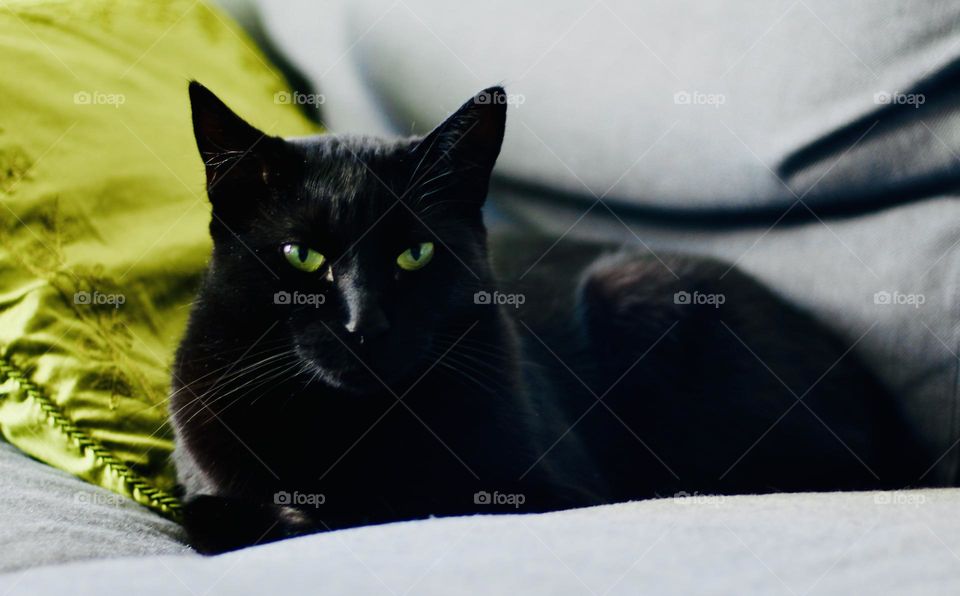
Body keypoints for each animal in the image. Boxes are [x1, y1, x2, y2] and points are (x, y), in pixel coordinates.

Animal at [169, 80, 928, 556]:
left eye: (416, 253)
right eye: (302, 256)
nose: (365, 326)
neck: (351, 427)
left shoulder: (550, 489)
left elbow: (405, 500)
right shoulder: (204, 477)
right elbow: (207, 512)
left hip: (643, 294)